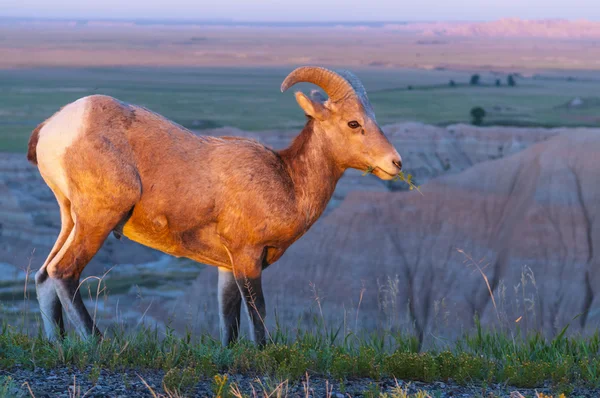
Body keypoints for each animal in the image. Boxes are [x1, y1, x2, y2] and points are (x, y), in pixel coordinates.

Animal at [28, 65, 404, 346]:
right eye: (353, 123)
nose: (395, 163)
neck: (288, 181)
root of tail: (53, 127)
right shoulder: (248, 258)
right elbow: (257, 316)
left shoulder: (227, 266)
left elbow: (229, 323)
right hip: (98, 219)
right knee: (64, 272)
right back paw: (97, 341)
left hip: (70, 218)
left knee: (44, 275)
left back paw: (58, 343)